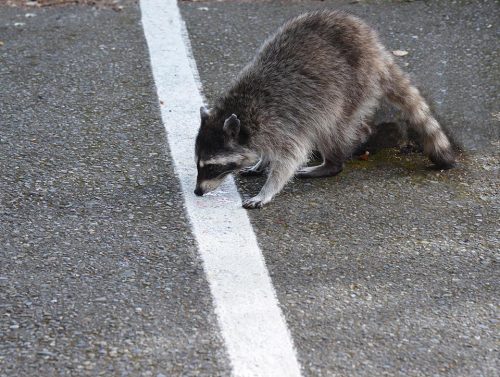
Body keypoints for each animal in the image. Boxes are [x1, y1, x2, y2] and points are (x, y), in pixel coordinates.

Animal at [195, 10, 458, 209]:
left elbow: (291, 156)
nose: (197, 192)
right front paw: (263, 161)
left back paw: (331, 164)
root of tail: (376, 48)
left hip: (352, 88)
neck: (242, 111)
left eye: (212, 167)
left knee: (330, 128)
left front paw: (267, 190)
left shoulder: (279, 124)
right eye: (198, 163)